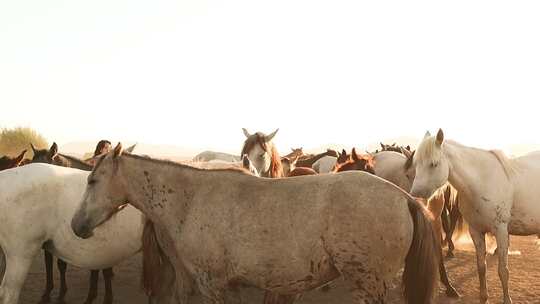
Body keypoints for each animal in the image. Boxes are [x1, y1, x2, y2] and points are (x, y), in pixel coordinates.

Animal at [71, 144, 440, 304]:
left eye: (92, 180)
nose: (77, 225)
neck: (191, 198)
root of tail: (403, 198)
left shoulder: (213, 286)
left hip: (368, 284)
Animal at [410, 129, 540, 304]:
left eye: (433, 164)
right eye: (416, 164)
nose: (415, 196)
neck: (482, 181)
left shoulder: (501, 231)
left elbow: (503, 270)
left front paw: (507, 299)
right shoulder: (476, 231)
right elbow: (481, 267)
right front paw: (483, 298)